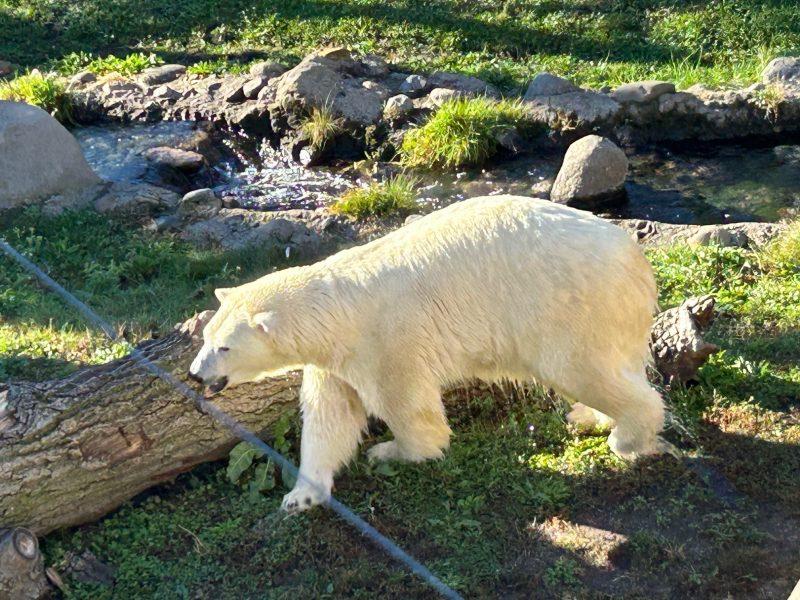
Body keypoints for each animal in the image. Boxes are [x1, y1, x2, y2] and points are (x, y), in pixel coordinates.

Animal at [189, 195, 666, 513]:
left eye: (224, 346)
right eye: (206, 336)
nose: (195, 374)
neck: (338, 307)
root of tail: (635, 260)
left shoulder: (385, 339)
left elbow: (405, 405)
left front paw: (390, 451)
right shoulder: (335, 359)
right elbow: (330, 415)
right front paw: (300, 495)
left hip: (567, 308)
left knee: (584, 370)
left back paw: (625, 436)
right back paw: (589, 416)